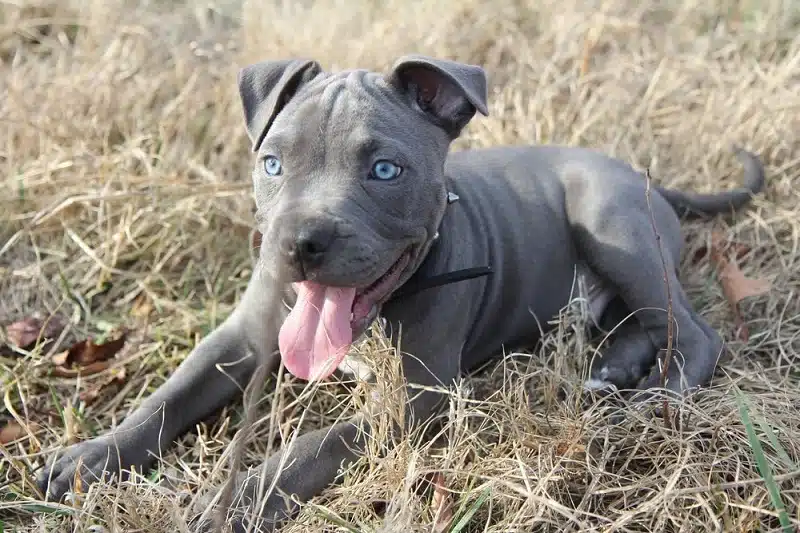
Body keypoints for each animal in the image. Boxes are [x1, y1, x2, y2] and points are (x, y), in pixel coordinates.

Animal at [36, 54, 764, 528]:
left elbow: (314, 444)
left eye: (386, 170)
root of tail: (645, 177)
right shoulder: (241, 336)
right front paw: (89, 458)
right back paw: (613, 369)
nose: (299, 242)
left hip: (615, 226)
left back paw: (655, 398)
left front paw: (236, 499)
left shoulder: (415, 398)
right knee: (638, 323)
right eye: (271, 163)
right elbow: (169, 395)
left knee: (693, 332)